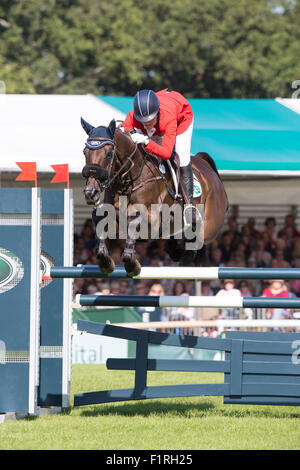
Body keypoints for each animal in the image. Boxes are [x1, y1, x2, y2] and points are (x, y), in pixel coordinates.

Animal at [81, 117, 229, 278]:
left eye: (109, 154)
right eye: (85, 152)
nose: (90, 193)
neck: (131, 177)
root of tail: (206, 166)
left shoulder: (152, 220)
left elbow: (133, 222)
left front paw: (132, 264)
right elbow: (98, 218)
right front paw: (105, 261)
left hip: (210, 226)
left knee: (198, 241)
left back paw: (187, 260)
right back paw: (177, 252)